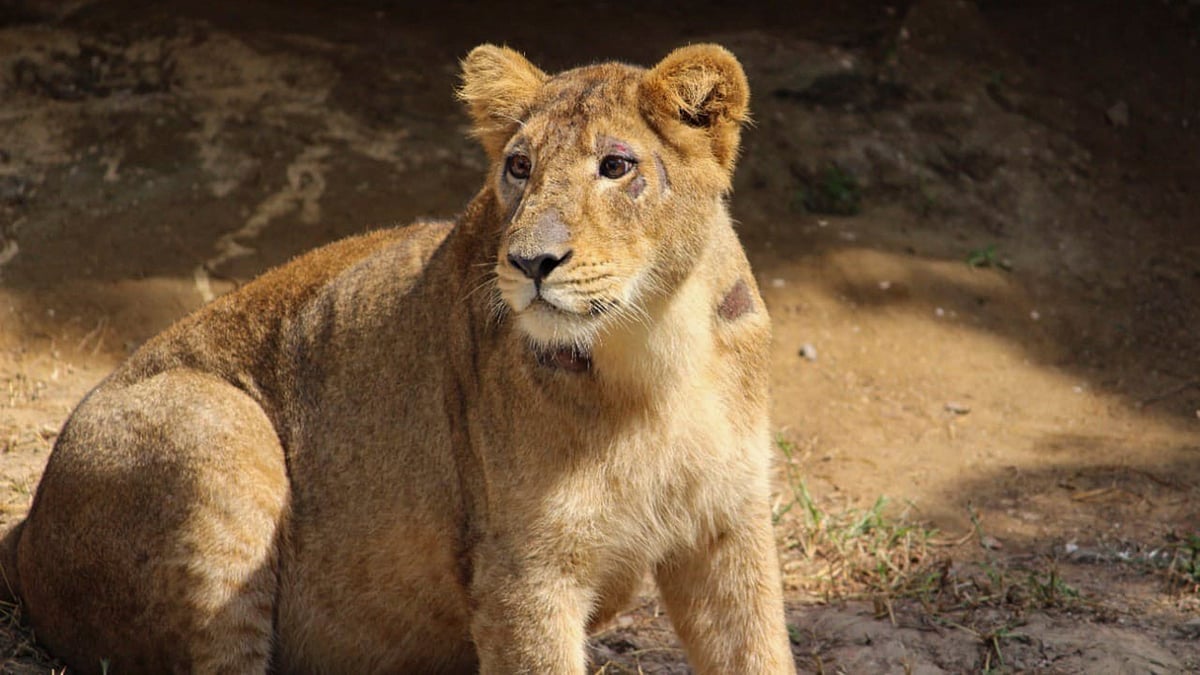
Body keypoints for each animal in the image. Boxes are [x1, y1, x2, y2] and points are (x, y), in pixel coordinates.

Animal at [2, 44, 795, 674]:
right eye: (519, 166)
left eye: (616, 166)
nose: (530, 262)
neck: (655, 353)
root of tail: (27, 531)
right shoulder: (523, 572)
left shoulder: (730, 529)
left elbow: (759, 652)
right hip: (215, 425)